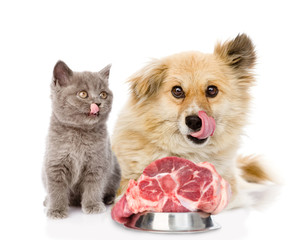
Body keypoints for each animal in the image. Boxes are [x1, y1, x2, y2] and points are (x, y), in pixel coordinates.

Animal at [41, 61, 120, 218]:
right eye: (83, 94)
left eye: (103, 94)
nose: (98, 103)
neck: (79, 132)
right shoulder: (55, 163)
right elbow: (56, 189)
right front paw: (56, 210)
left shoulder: (97, 164)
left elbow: (94, 187)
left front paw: (93, 206)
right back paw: (47, 202)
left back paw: (108, 199)